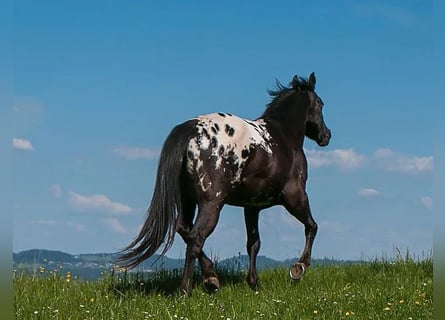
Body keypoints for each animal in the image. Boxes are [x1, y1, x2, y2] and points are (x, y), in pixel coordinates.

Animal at [116, 72, 332, 296]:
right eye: (320, 103)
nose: (326, 136)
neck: (283, 136)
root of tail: (189, 130)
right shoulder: (295, 196)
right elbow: (312, 226)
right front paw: (299, 268)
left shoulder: (251, 207)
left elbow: (253, 243)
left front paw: (254, 284)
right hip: (212, 203)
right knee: (196, 237)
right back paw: (186, 290)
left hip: (188, 200)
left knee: (184, 229)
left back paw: (211, 279)